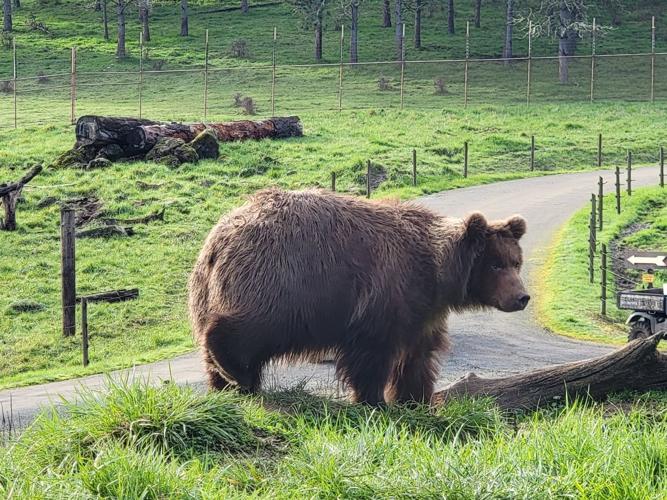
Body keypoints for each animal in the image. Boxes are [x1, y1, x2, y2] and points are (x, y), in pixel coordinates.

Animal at [187, 187, 529, 405]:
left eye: (516, 262)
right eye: (495, 264)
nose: (522, 297)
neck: (436, 272)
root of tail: (219, 238)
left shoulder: (423, 310)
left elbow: (419, 356)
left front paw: (414, 398)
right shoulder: (384, 295)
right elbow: (371, 356)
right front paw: (374, 400)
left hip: (212, 290)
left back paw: (225, 384)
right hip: (282, 283)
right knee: (247, 330)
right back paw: (238, 374)